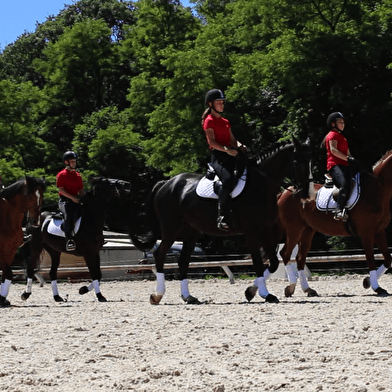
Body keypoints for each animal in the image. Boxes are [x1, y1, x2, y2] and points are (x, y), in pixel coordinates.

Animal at [0, 176, 46, 308]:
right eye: (29, 197)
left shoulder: (10, 250)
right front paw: (2, 299)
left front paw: (3, 299)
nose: (36, 221)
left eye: (41, 196)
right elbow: (8, 273)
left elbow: (6, 274)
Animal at [130, 136, 310, 304]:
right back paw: (157, 295)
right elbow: (258, 263)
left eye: (309, 161)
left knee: (183, 261)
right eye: (297, 161)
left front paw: (252, 292)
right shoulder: (251, 232)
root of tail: (166, 183)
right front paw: (262, 294)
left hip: (191, 232)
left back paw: (188, 297)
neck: (260, 185)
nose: (305, 193)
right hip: (171, 229)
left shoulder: (265, 230)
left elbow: (273, 263)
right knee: (160, 255)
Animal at [278, 150, 392, 298]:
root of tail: (285, 191)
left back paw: (308, 289)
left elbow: (388, 259)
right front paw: (376, 287)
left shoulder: (379, 231)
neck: (376, 190)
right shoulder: (367, 233)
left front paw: (367, 282)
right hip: (294, 229)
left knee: (300, 258)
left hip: (307, 230)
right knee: (286, 254)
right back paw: (290, 287)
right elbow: (370, 259)